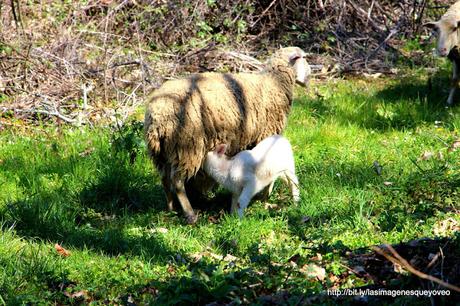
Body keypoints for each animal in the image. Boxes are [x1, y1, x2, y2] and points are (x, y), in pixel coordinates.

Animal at [144, 46, 310, 224]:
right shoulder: (267, 133)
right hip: (187, 146)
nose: (309, 77)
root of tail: (156, 116)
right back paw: (190, 214)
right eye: (303, 58)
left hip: (164, 153)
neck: (275, 82)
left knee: (165, 180)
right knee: (177, 182)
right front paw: (265, 197)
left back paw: (171, 208)